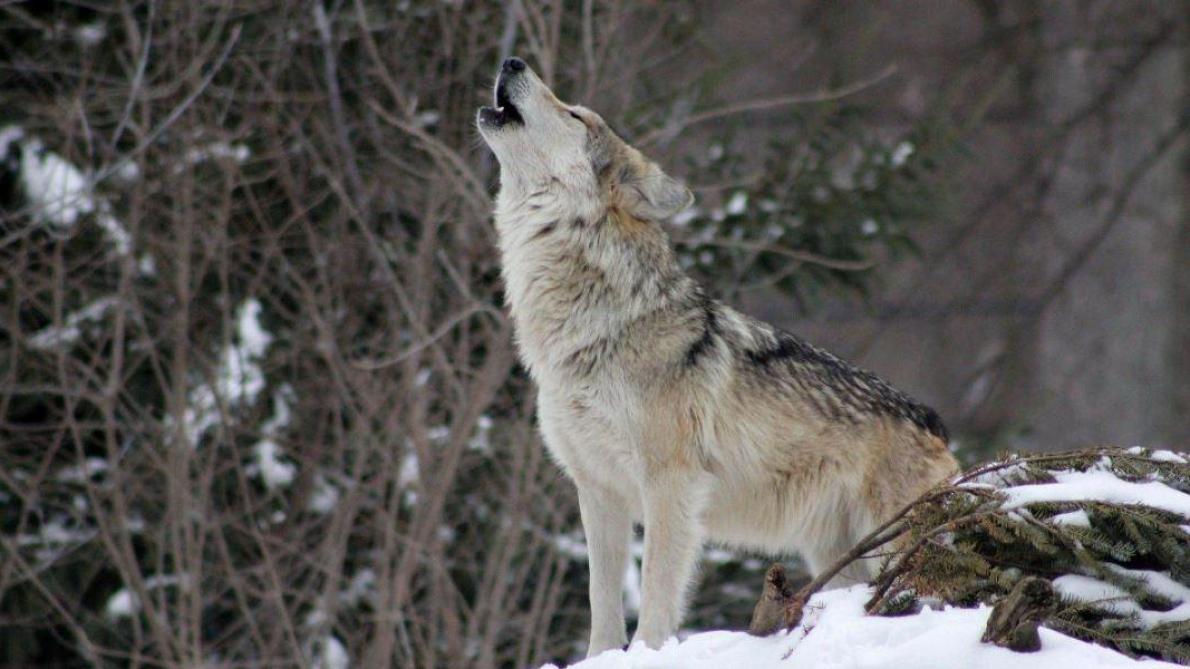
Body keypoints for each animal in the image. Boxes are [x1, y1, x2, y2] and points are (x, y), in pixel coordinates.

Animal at [477, 57, 958, 656]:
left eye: (575, 115)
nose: (512, 61)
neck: (595, 327)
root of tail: (934, 422)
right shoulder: (597, 490)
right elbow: (601, 604)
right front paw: (603, 658)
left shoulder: (670, 485)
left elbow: (656, 593)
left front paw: (648, 654)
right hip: (837, 558)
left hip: (891, 545)